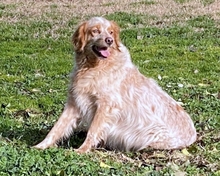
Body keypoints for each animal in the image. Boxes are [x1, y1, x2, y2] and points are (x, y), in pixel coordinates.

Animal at [34, 17, 196, 153]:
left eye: (110, 32)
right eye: (95, 31)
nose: (110, 40)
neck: (93, 67)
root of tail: (193, 136)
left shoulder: (106, 105)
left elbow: (93, 131)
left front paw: (83, 150)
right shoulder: (74, 103)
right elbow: (56, 128)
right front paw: (40, 146)